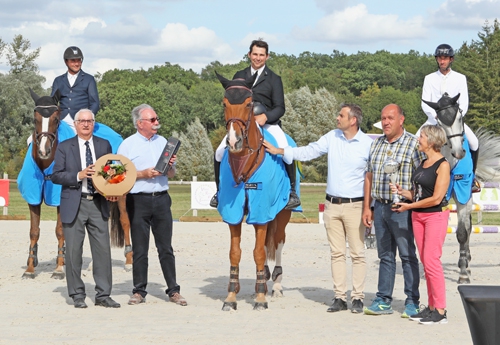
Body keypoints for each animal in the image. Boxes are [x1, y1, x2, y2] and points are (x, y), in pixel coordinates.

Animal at [216, 72, 300, 310]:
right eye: (224, 103)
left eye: (248, 104)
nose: (233, 141)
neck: (243, 161)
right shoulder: (233, 213)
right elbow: (235, 253)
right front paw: (231, 297)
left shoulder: (262, 212)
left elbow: (259, 253)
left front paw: (261, 298)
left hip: (282, 214)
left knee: (278, 242)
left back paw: (276, 286)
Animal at [424, 92, 500, 282]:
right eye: (439, 121)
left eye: (459, 116)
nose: (459, 152)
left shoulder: (463, 194)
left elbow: (462, 233)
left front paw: (464, 273)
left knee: (468, 226)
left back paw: (467, 263)